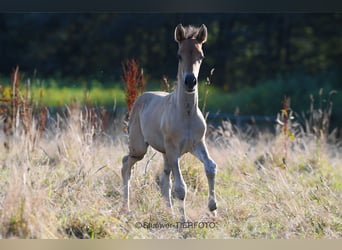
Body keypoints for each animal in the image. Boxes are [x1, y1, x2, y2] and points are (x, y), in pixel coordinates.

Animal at [121, 23, 216, 219]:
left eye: (201, 56)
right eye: (179, 55)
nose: (190, 81)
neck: (186, 115)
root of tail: (140, 98)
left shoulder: (197, 144)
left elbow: (211, 167)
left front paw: (213, 207)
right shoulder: (173, 150)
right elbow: (180, 188)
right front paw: (183, 220)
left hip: (164, 153)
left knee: (164, 179)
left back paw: (169, 213)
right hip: (140, 148)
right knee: (126, 164)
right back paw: (126, 208)